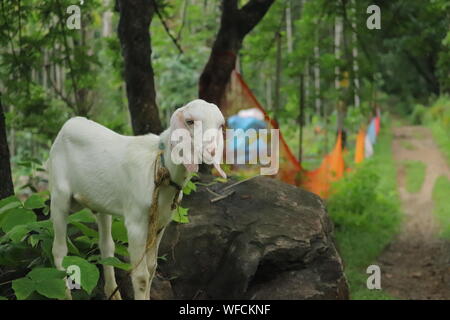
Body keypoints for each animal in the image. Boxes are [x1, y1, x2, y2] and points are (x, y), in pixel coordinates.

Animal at [47, 99, 227, 298]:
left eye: (220, 125)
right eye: (189, 121)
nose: (211, 151)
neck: (159, 167)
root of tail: (67, 125)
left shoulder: (161, 222)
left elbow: (152, 267)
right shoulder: (136, 222)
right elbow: (141, 276)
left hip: (101, 204)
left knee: (106, 247)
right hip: (59, 195)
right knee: (59, 250)